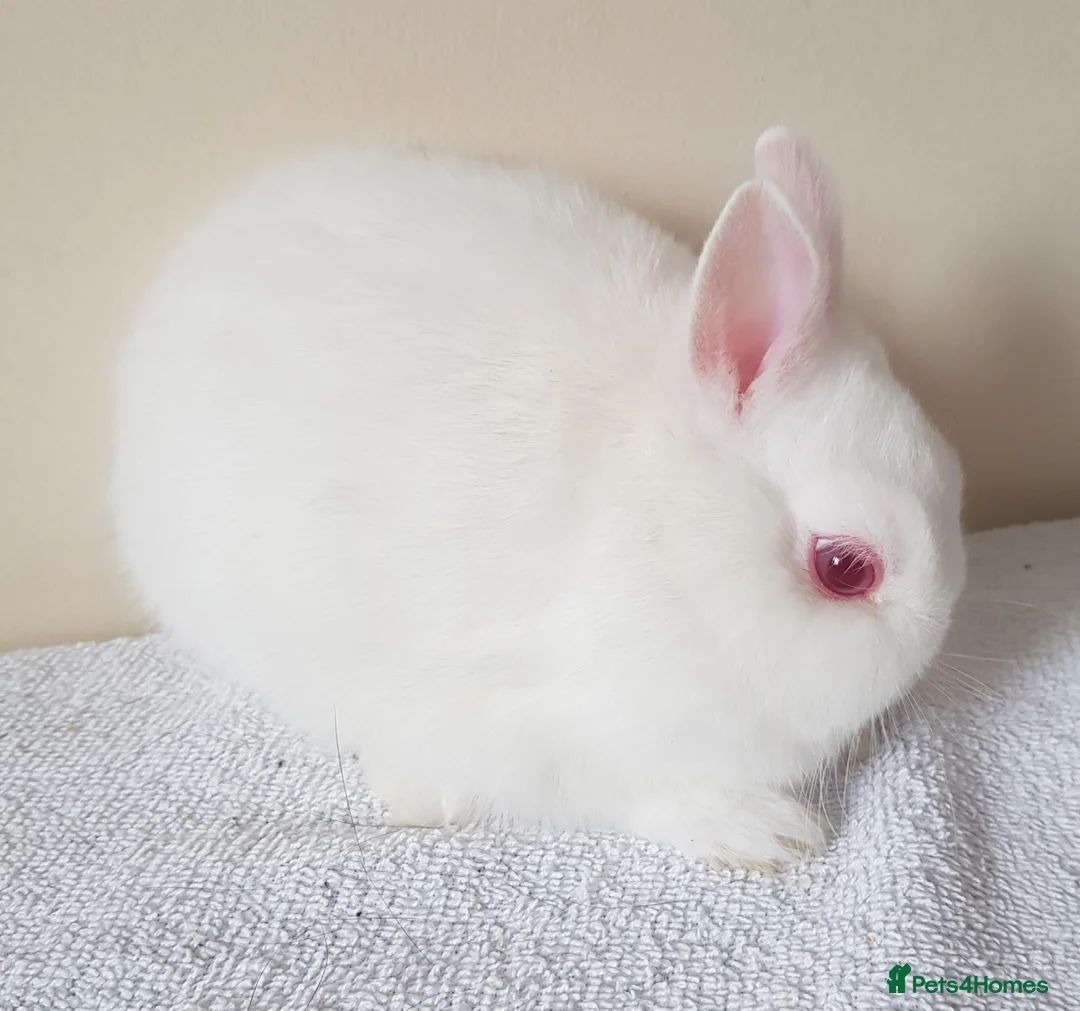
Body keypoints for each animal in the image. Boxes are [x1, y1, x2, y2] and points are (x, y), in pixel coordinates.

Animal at [111, 127, 966, 870]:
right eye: (844, 567)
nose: (934, 636)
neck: (670, 542)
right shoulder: (549, 732)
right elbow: (644, 792)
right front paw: (766, 832)